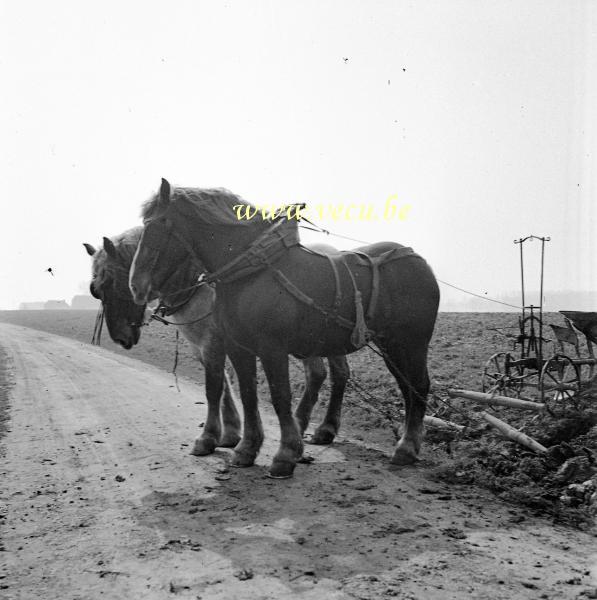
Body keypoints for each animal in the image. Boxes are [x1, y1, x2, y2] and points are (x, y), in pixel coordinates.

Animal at [130, 179, 438, 478]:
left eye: (157, 225)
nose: (136, 286)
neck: (251, 272)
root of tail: (418, 259)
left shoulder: (271, 349)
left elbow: (280, 397)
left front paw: (285, 454)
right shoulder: (239, 348)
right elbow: (248, 395)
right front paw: (247, 448)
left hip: (410, 343)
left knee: (419, 386)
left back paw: (406, 448)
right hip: (389, 345)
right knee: (405, 388)